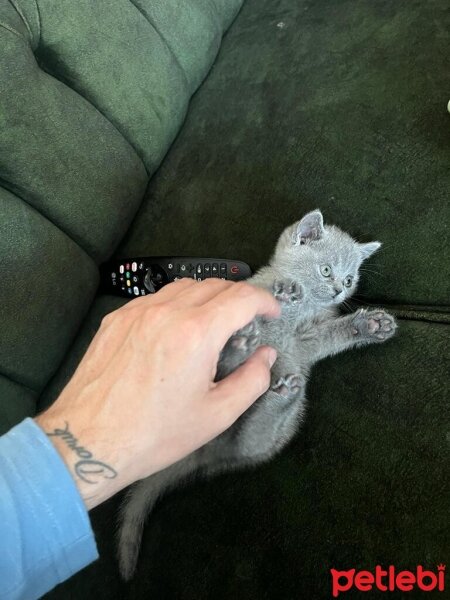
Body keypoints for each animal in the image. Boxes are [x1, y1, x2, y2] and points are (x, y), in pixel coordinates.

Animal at [117, 209, 398, 580]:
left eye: (350, 279)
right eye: (326, 270)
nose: (340, 290)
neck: (303, 312)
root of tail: (203, 452)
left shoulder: (306, 343)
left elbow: (331, 335)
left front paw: (369, 325)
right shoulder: (247, 296)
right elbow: (264, 297)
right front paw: (285, 292)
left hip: (269, 433)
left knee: (251, 440)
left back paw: (282, 395)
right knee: (225, 368)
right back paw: (241, 347)